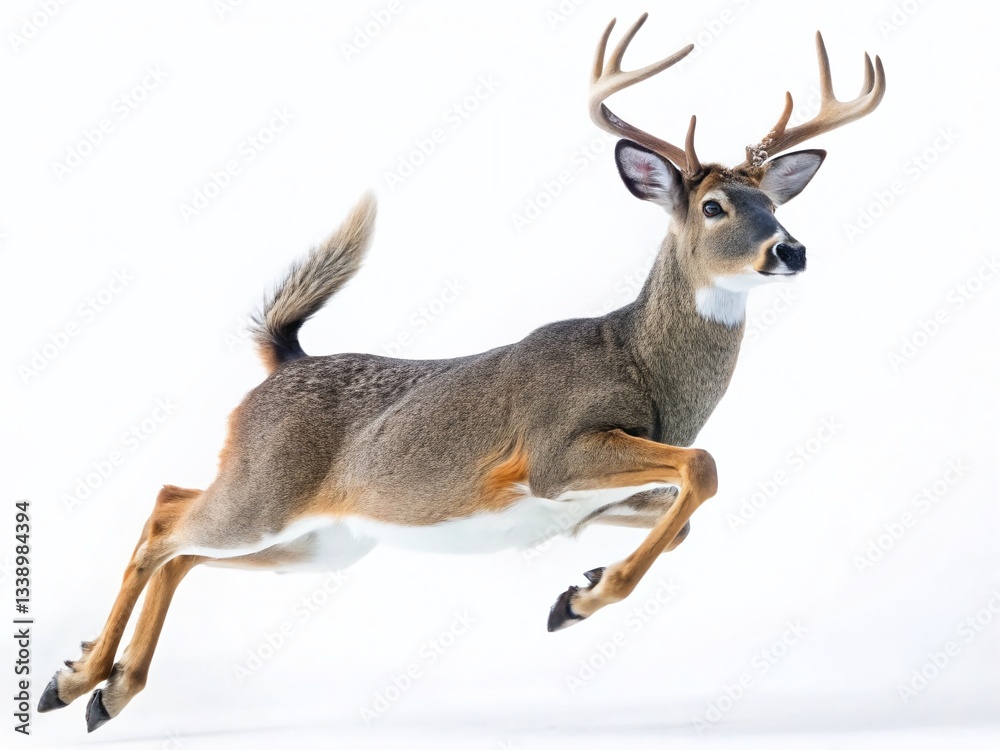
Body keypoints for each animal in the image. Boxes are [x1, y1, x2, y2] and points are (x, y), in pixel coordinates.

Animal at [38, 13, 884, 732]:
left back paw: (108, 689)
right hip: (265, 493)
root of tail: (283, 361)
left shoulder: (591, 498)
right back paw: (75, 682)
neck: (644, 370)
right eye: (714, 206)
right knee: (163, 515)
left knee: (181, 546)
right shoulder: (553, 451)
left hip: (323, 539)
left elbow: (682, 515)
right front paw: (583, 600)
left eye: (770, 200)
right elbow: (703, 466)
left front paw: (578, 588)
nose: (790, 249)